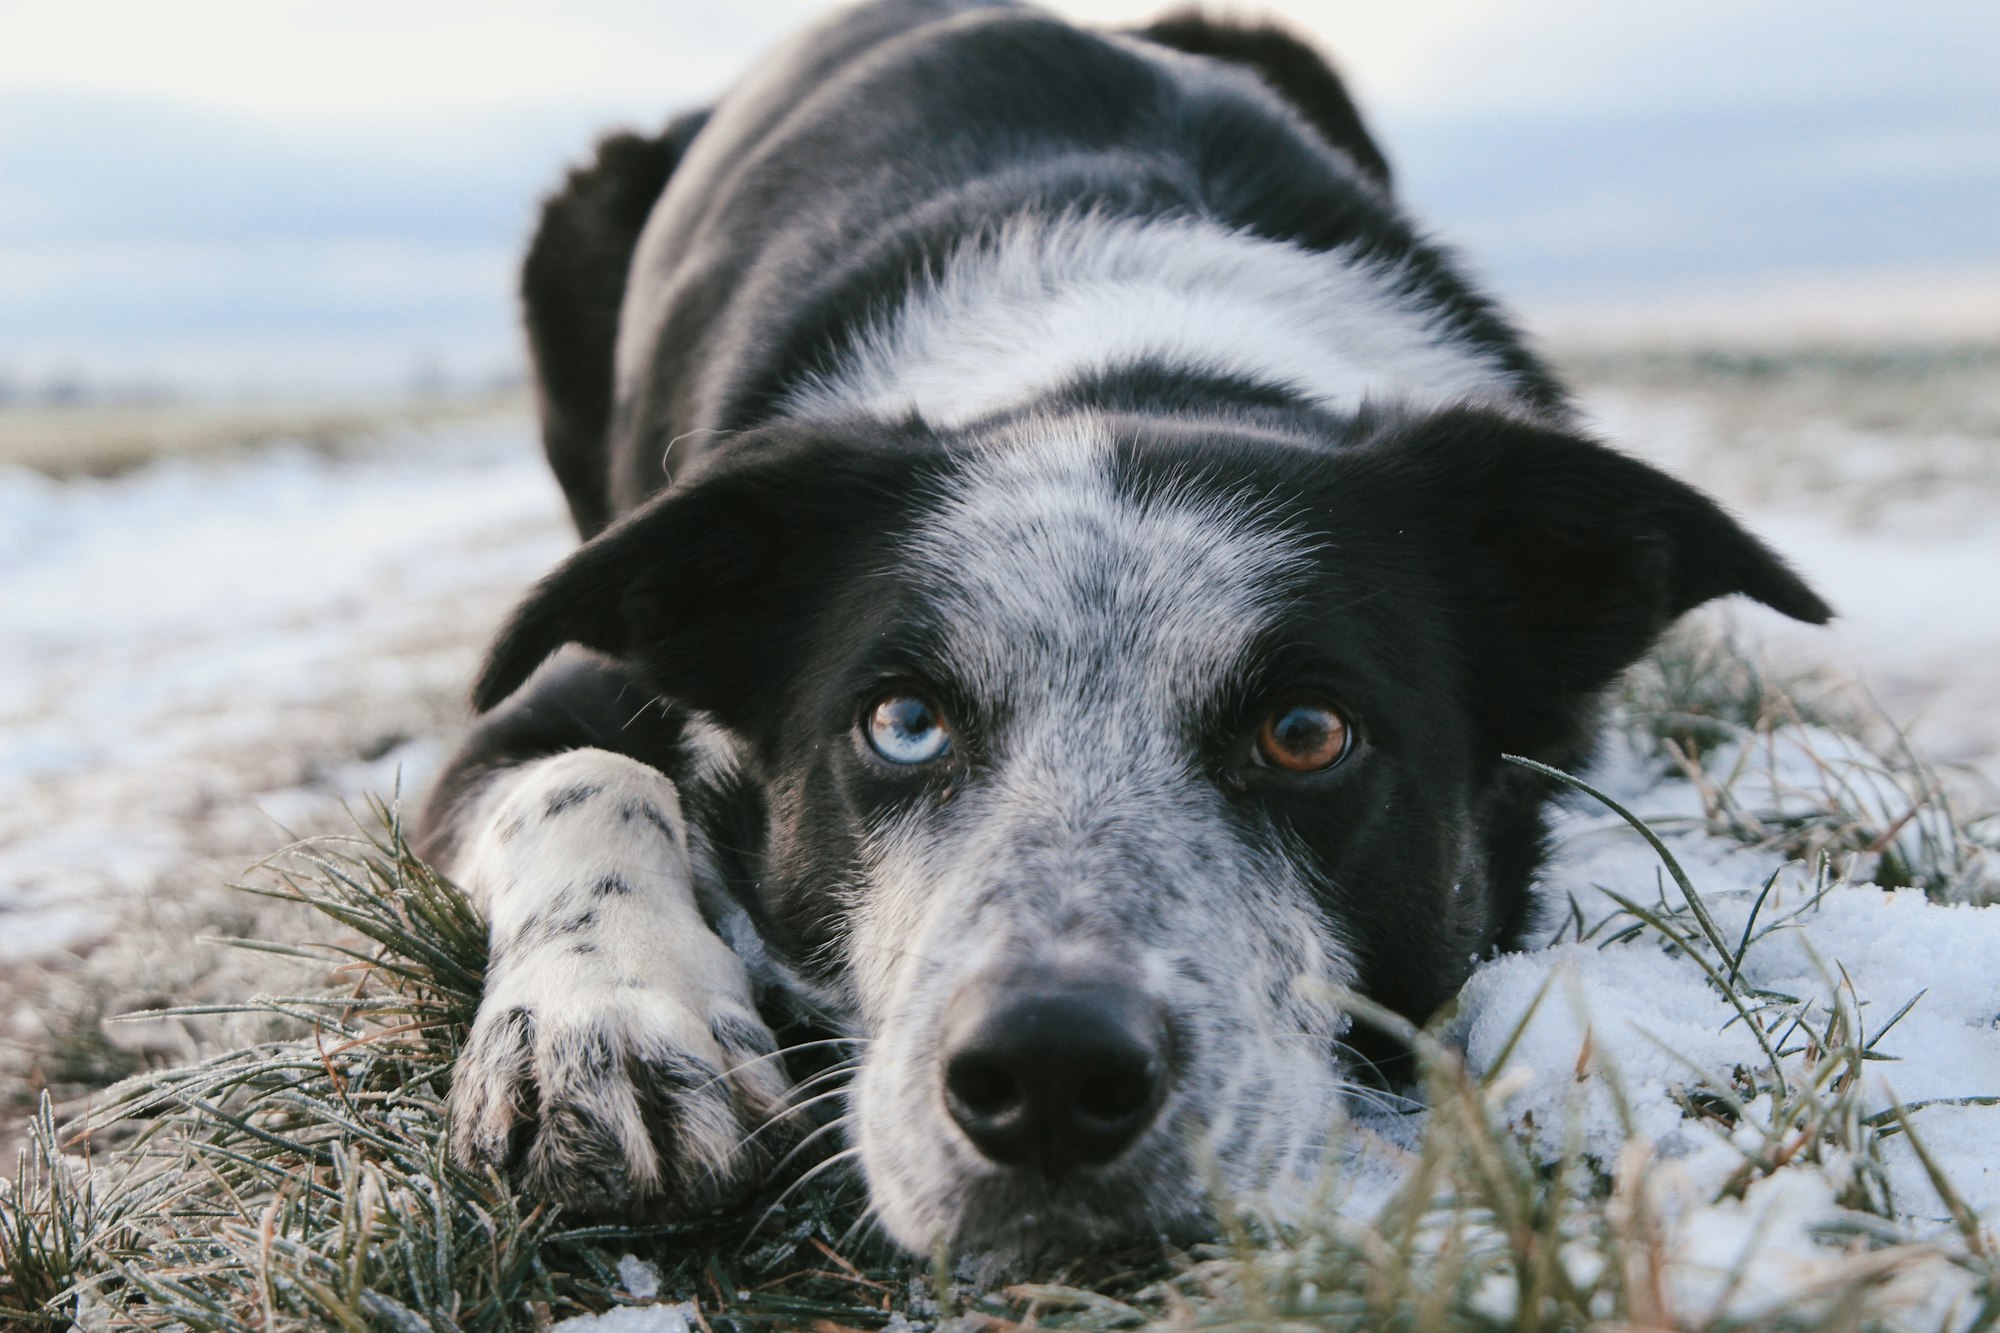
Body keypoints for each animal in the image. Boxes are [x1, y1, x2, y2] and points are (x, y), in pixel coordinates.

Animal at [414, 0, 1832, 1264]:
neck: (1139, 353)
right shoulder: (550, 698)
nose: (1044, 1073)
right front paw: (610, 1037)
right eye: (901, 722)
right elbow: (587, 775)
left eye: (1306, 731)